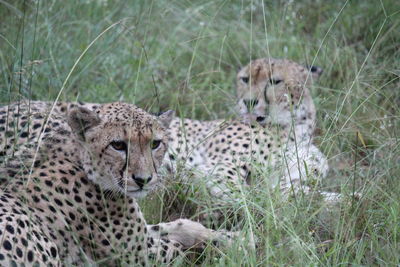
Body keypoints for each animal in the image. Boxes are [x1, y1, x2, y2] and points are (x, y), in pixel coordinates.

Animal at [0, 101, 236, 266]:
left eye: (155, 144)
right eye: (118, 145)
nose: (143, 180)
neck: (81, 161)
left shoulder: (144, 236)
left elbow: (174, 226)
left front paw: (224, 236)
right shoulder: (141, 256)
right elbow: (178, 249)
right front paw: (224, 244)